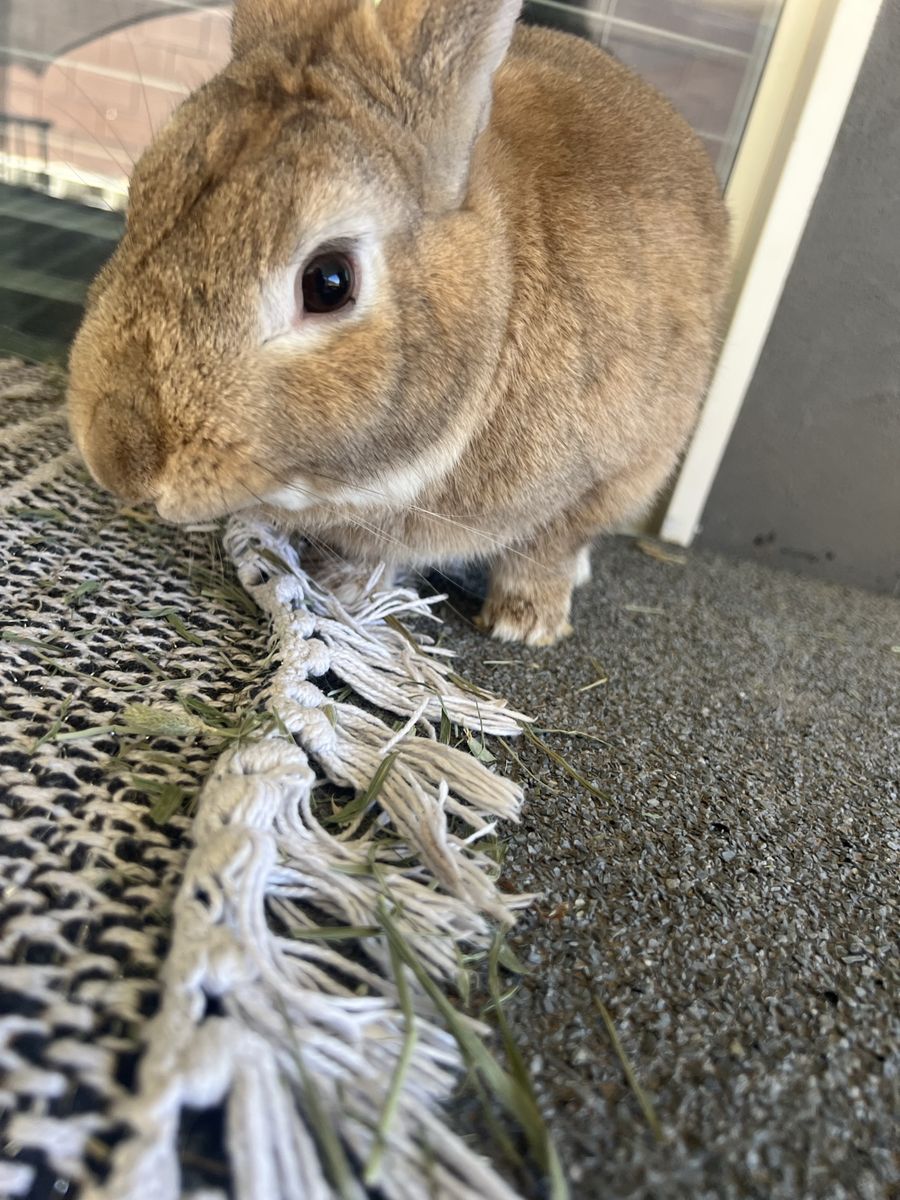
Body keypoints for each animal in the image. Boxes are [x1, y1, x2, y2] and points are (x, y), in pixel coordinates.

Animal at [67, 0, 729, 646]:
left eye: (328, 282)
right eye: (141, 197)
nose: (117, 462)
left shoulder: (605, 474)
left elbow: (549, 547)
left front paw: (525, 624)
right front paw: (343, 588)